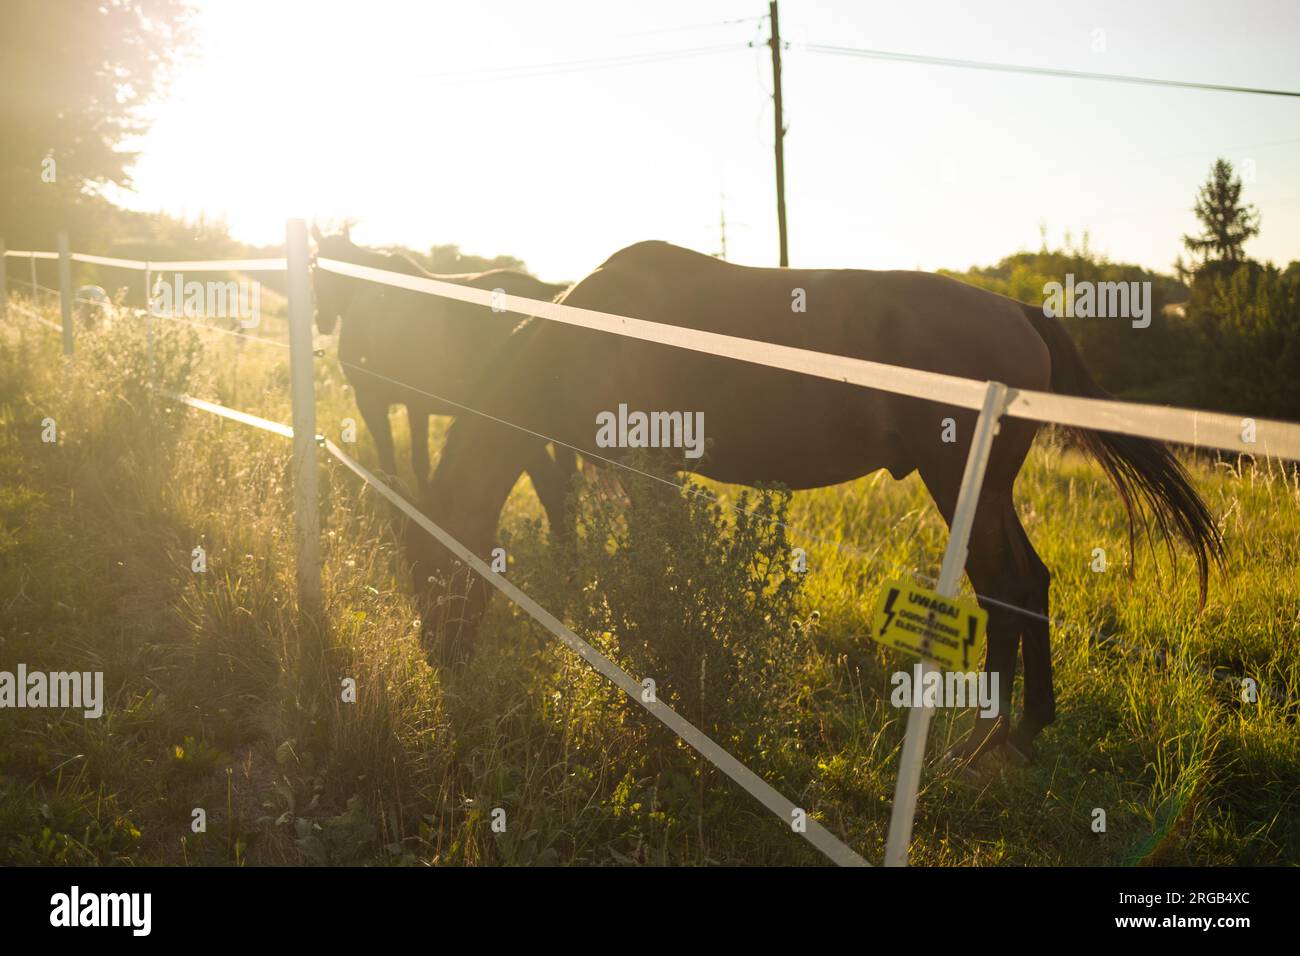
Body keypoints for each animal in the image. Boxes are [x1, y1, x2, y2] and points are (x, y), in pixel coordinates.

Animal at [309, 227, 574, 528]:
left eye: (314, 264)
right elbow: (420, 464)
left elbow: (390, 465)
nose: (322, 320)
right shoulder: (417, 406)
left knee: (551, 487)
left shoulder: (372, 400)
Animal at [410, 240, 1222, 764]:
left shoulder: (647, 468)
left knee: (1008, 586)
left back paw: (986, 741)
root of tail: (1023, 311)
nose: (437, 662)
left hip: (964, 483)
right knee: (1029, 584)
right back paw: (1023, 731)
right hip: (986, 490)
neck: (592, 332)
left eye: (433, 571)